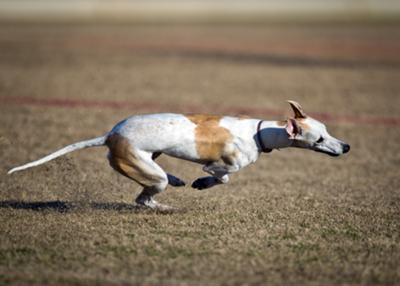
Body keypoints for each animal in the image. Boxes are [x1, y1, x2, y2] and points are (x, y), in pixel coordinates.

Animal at [7, 100, 348, 210]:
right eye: (319, 138)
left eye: (328, 130)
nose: (346, 147)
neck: (260, 131)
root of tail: (111, 134)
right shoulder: (221, 165)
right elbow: (223, 176)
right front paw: (202, 183)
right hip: (143, 167)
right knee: (144, 198)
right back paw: (168, 198)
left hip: (149, 160)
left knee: (149, 191)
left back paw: (174, 182)